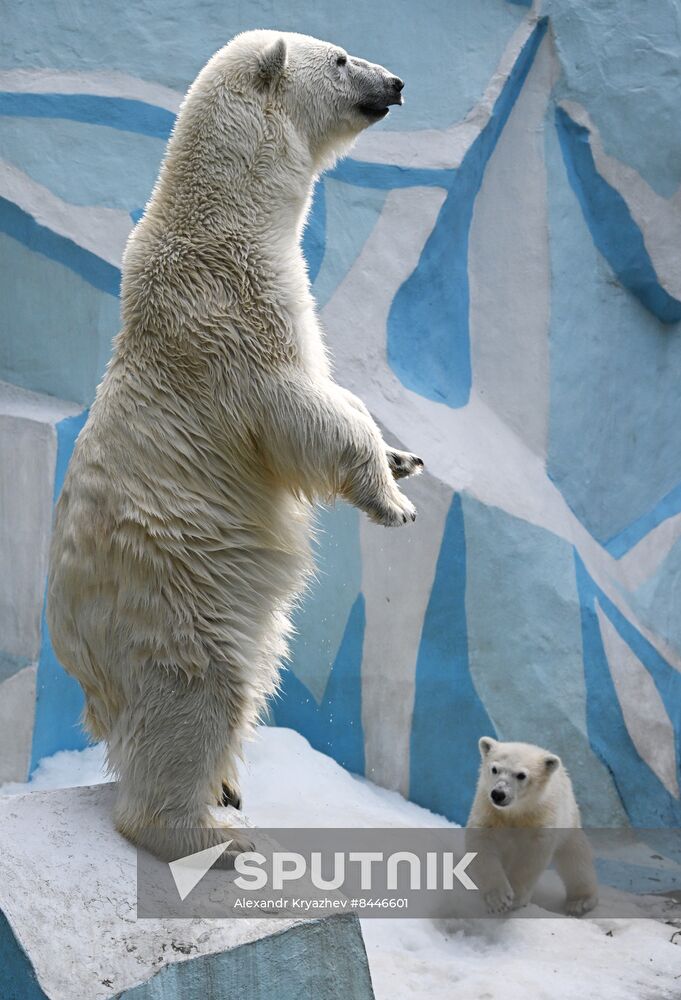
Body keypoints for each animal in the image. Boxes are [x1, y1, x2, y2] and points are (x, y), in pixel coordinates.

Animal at [46, 31, 420, 860]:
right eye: (340, 58)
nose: (396, 81)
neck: (219, 219)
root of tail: (85, 670)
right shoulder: (232, 313)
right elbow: (301, 410)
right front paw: (392, 499)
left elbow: (334, 394)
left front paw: (405, 458)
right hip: (173, 605)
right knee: (198, 699)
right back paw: (209, 833)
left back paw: (228, 789)